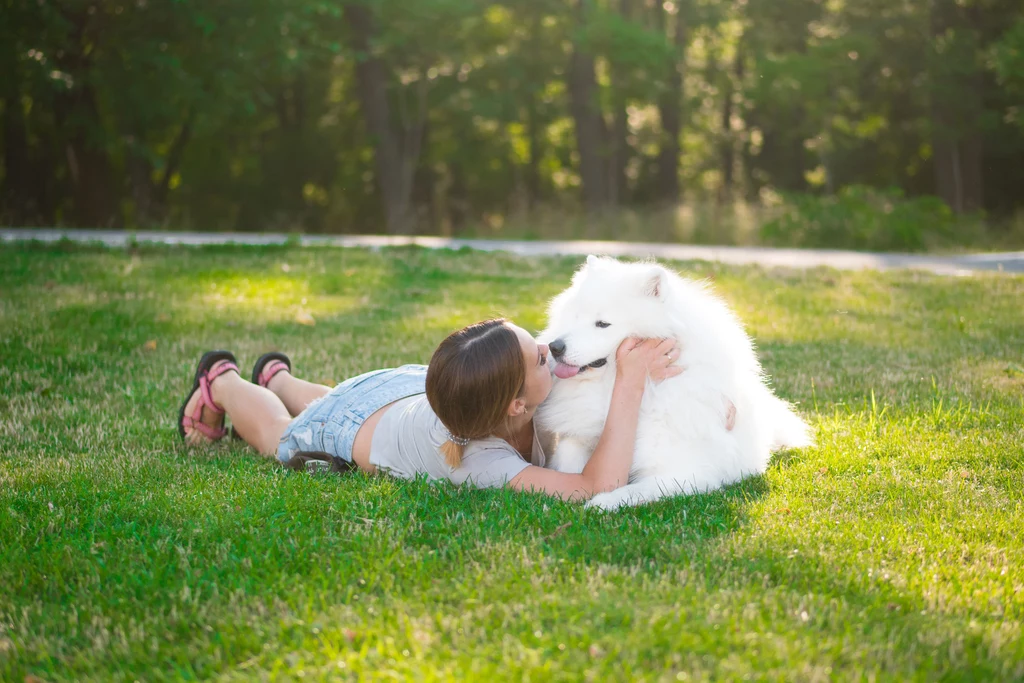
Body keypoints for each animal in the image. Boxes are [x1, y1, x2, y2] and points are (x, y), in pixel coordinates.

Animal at [536, 258, 815, 511]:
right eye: (574, 317)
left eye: (602, 324)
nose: (555, 347)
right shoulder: (576, 439)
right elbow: (571, 465)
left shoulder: (685, 472)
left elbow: (633, 490)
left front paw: (600, 502)